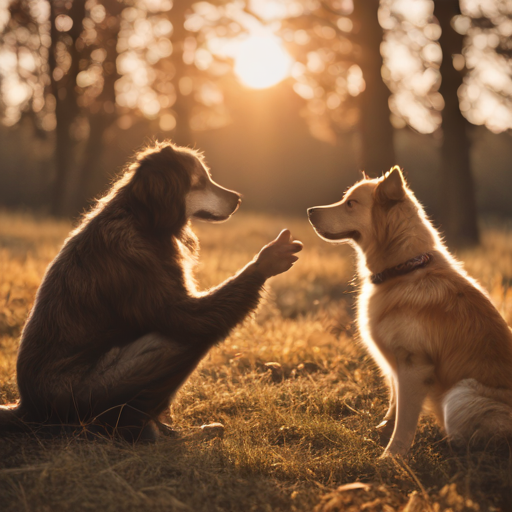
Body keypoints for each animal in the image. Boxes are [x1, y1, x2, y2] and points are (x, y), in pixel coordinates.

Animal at [0, 140, 302, 440]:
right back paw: (144, 432)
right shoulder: (147, 277)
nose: (238, 199)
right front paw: (266, 260)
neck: (141, 218)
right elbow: (187, 316)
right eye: (201, 181)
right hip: (104, 387)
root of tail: (28, 408)